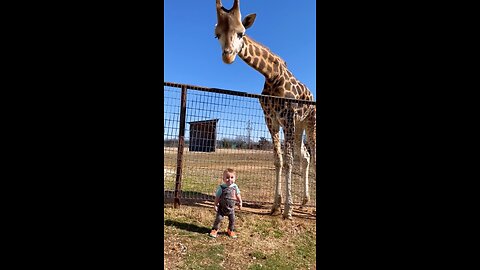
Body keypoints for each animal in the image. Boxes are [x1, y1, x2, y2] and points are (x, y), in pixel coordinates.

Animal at [216, 0, 316, 219]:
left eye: (241, 33)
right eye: (217, 34)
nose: (227, 56)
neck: (272, 76)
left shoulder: (287, 117)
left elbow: (288, 161)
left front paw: (287, 210)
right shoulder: (271, 120)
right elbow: (278, 160)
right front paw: (276, 205)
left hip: (310, 122)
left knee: (313, 153)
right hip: (299, 125)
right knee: (305, 156)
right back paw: (305, 201)